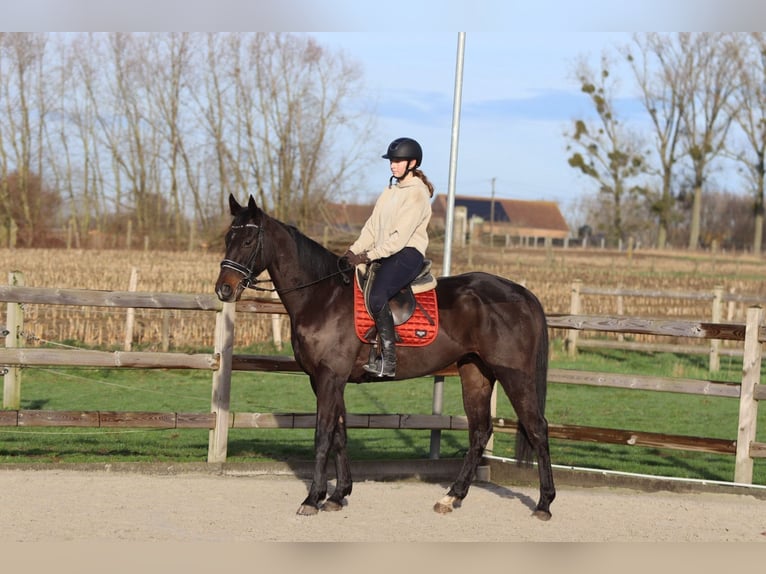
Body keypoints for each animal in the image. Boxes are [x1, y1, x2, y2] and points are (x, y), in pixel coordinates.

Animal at [215, 194, 556, 520]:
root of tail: (523, 295)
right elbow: (339, 435)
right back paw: (451, 497)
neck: (322, 297)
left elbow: (323, 435)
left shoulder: (329, 377)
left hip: (514, 375)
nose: (224, 290)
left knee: (537, 428)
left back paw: (544, 504)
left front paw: (312, 499)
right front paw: (337, 495)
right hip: (476, 373)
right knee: (479, 432)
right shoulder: (325, 380)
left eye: (248, 241)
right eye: (227, 238)